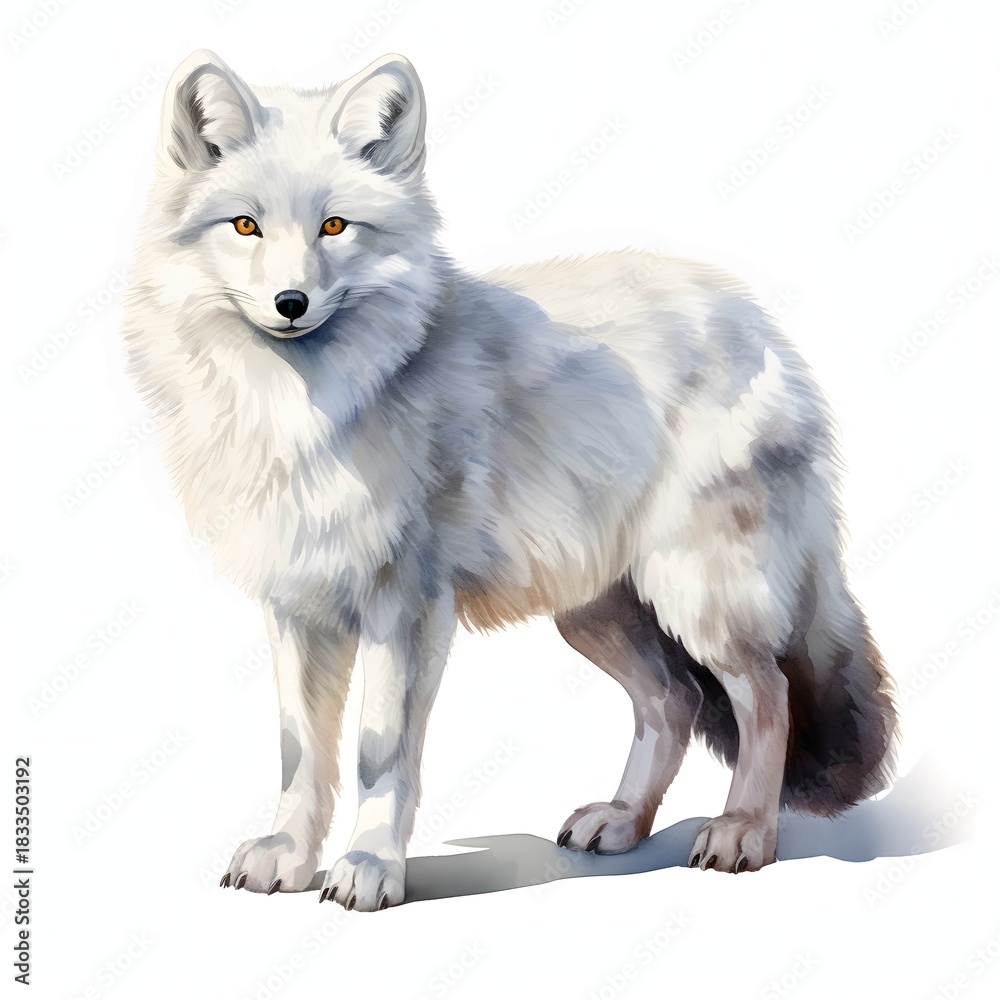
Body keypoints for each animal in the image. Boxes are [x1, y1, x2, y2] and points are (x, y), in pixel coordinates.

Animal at [122, 50, 899, 911]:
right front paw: (288, 856)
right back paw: (623, 821)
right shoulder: (297, 602)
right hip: (594, 613)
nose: (292, 302)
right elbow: (301, 754)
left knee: (767, 697)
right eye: (245, 226)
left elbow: (378, 756)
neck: (299, 413)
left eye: (334, 227)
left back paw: (746, 834)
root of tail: (759, 322)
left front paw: (369, 868)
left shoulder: (405, 607)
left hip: (699, 599)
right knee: (675, 701)